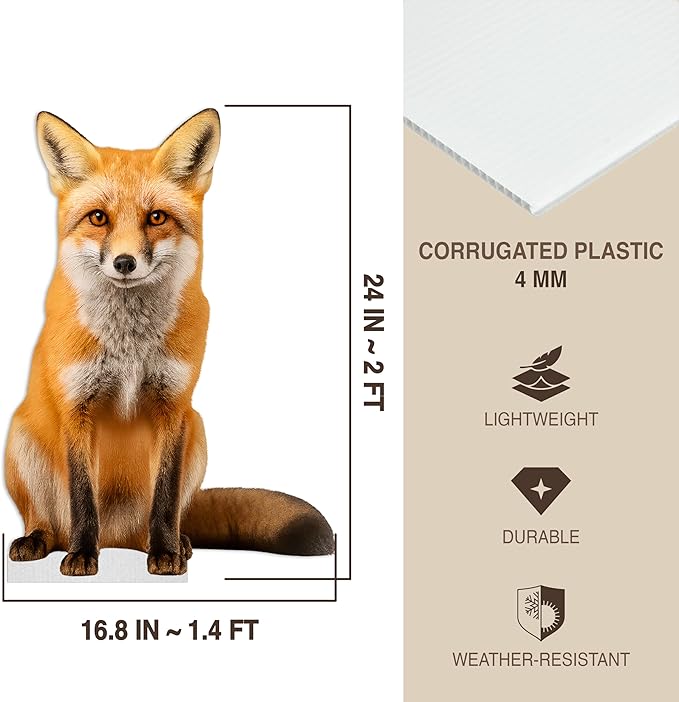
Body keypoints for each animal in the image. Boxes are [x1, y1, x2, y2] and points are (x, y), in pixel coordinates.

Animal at [5, 108, 333, 576]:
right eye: (98, 218)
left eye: (157, 217)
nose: (125, 262)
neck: (129, 346)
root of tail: (118, 535)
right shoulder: (76, 407)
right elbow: (82, 499)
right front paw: (83, 556)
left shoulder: (174, 405)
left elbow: (165, 495)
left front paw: (165, 555)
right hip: (20, 434)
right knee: (51, 520)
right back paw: (41, 540)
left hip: (198, 431)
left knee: (169, 515)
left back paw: (174, 543)